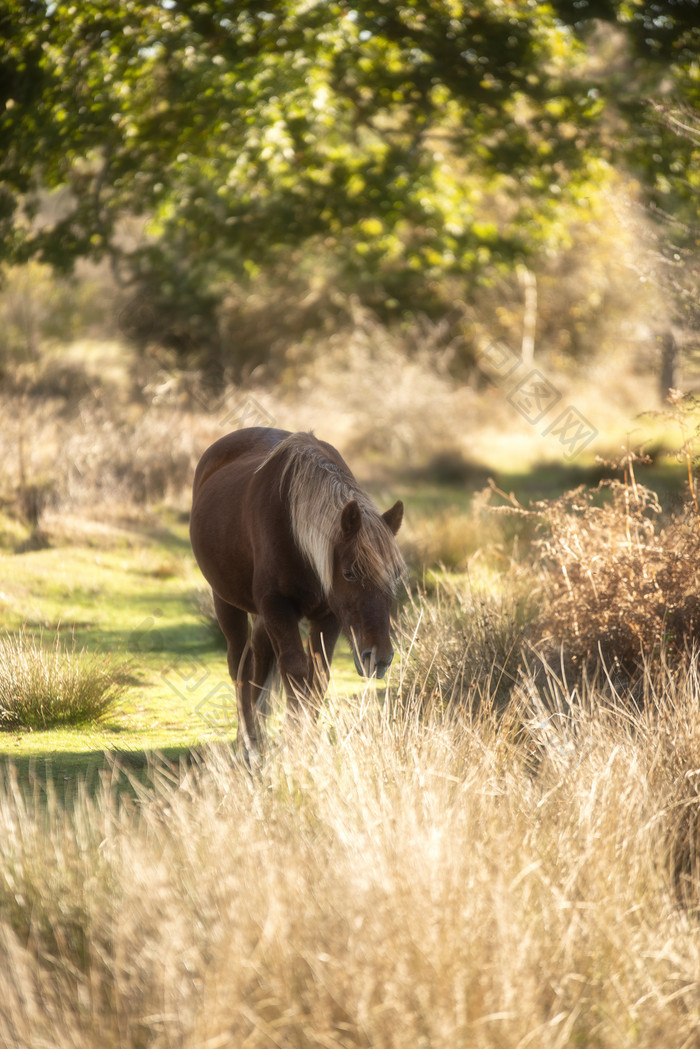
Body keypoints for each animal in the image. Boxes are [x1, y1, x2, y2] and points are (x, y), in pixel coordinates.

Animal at [188, 425, 405, 755]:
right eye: (349, 573)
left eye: (394, 574)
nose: (379, 658)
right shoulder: (278, 607)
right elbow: (295, 671)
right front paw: (293, 739)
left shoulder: (328, 616)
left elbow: (318, 675)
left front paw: (307, 739)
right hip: (227, 603)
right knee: (240, 665)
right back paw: (249, 743)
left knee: (259, 658)